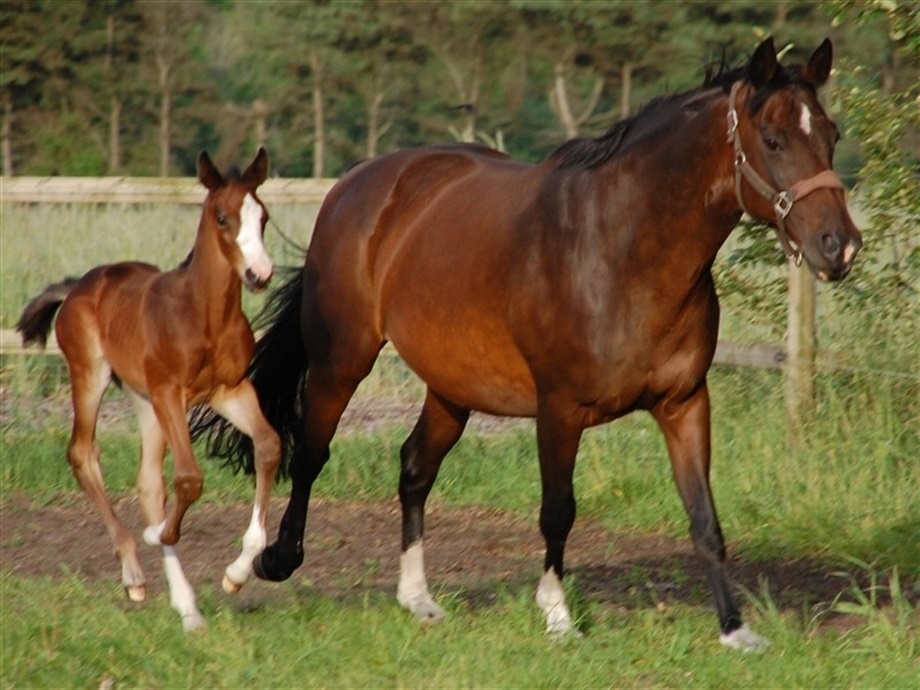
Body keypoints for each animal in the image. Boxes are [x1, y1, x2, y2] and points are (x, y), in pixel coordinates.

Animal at [17, 148, 282, 631]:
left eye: (263, 217)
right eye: (222, 217)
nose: (260, 274)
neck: (203, 315)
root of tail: (79, 285)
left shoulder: (230, 390)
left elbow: (268, 446)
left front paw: (235, 575)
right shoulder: (170, 393)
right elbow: (190, 479)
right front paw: (157, 535)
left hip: (143, 401)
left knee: (148, 483)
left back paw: (187, 606)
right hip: (92, 377)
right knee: (83, 454)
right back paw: (134, 574)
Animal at [195, 38, 861, 650]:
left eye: (831, 134)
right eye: (772, 140)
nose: (840, 246)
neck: (621, 249)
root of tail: (357, 182)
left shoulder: (685, 402)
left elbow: (704, 518)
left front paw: (735, 630)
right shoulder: (560, 409)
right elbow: (558, 511)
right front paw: (559, 617)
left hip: (452, 386)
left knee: (414, 468)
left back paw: (418, 599)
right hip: (343, 359)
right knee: (310, 452)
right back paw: (266, 562)